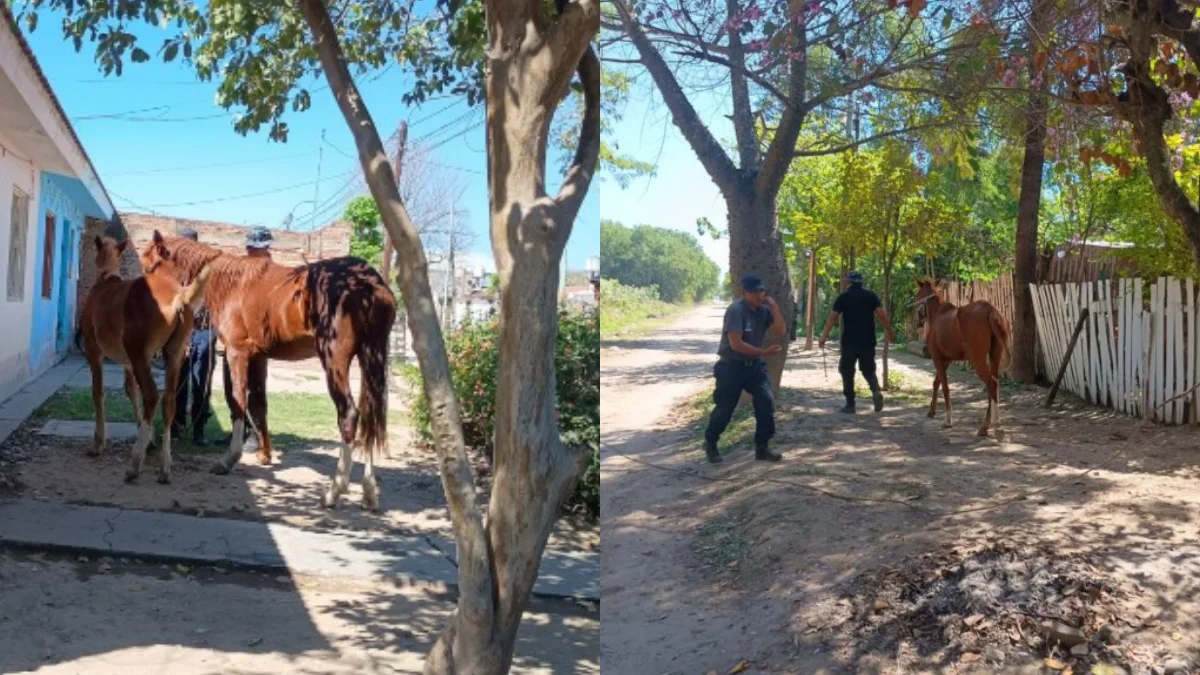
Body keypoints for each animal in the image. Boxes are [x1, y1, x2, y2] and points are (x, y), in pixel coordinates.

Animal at [78, 232, 212, 483]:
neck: (107, 279)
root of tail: (179, 297)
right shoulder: (128, 362)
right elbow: (131, 391)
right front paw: (148, 439)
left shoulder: (94, 352)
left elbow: (98, 393)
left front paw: (98, 442)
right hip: (174, 355)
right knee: (168, 400)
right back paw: (165, 466)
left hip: (139, 353)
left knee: (151, 395)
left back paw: (135, 464)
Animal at [140, 235, 396, 511]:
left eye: (149, 266)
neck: (230, 282)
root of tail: (370, 282)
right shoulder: (258, 357)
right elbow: (258, 403)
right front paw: (264, 453)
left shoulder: (237, 352)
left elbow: (238, 402)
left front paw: (230, 459)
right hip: (371, 356)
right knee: (371, 416)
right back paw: (369, 493)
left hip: (335, 359)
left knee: (348, 415)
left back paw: (334, 491)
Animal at [913, 279, 1011, 440]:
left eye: (917, 295)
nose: (919, 320)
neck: (938, 314)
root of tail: (990, 310)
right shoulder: (946, 360)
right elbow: (936, 382)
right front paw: (932, 410)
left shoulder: (937, 358)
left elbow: (945, 387)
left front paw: (948, 420)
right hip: (995, 356)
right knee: (993, 386)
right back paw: (985, 427)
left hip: (977, 360)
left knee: (991, 383)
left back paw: (997, 427)